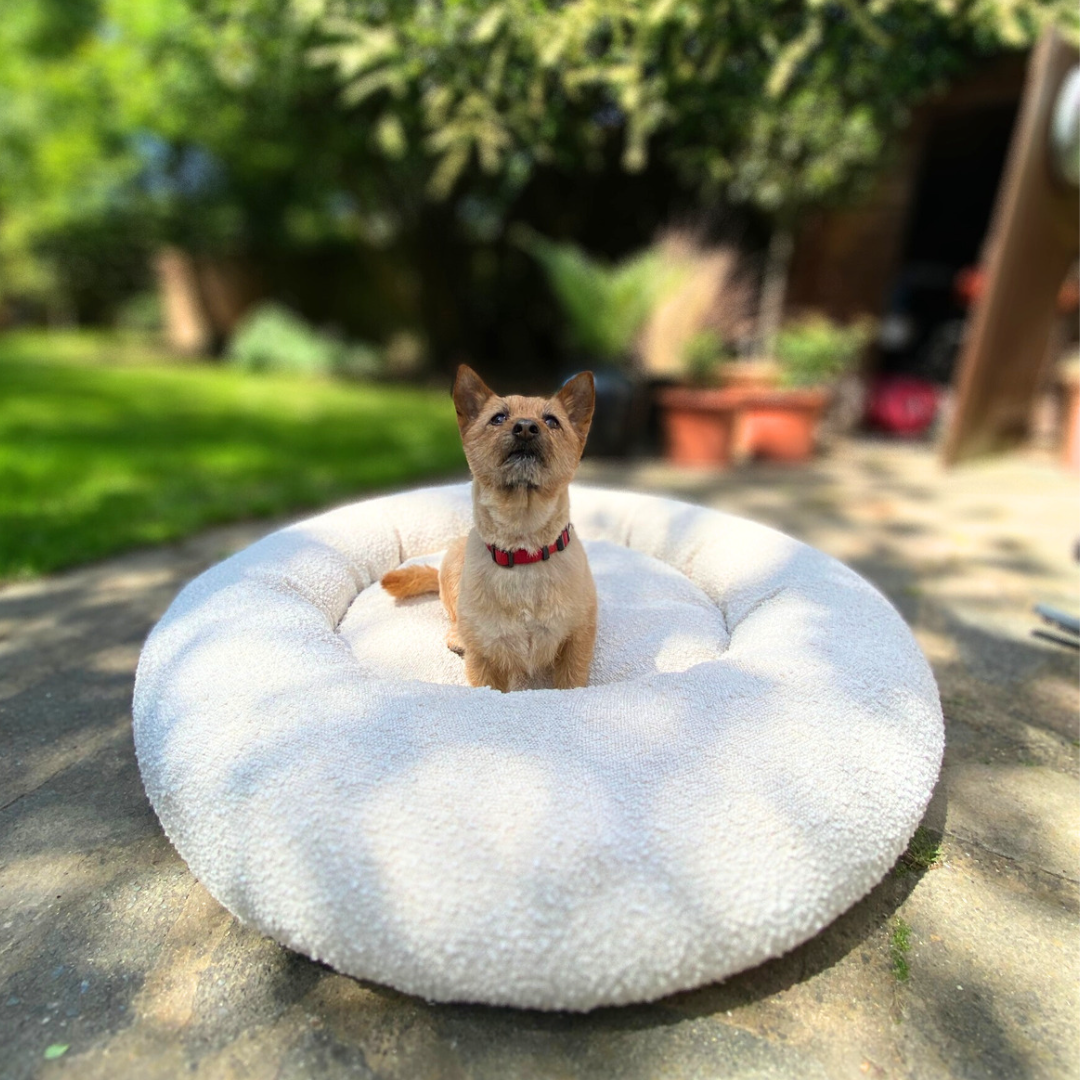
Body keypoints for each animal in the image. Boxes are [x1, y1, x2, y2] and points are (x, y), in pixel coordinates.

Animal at [382, 367, 600, 691]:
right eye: (498, 418)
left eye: (551, 421)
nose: (526, 427)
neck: (524, 548)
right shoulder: (484, 660)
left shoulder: (576, 642)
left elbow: (571, 681)